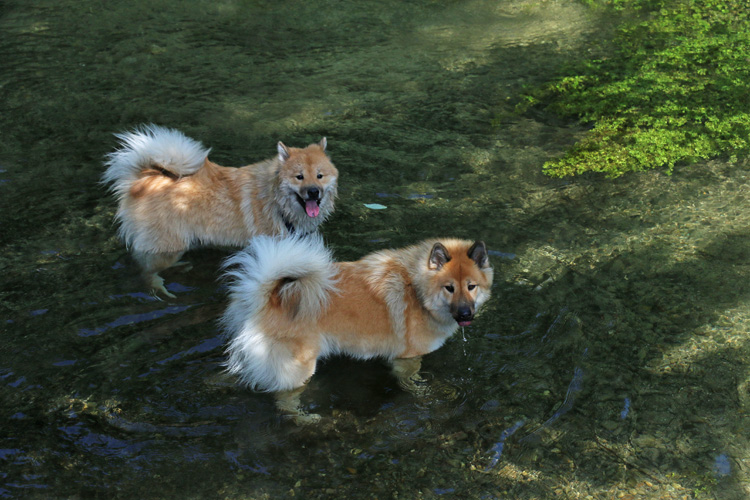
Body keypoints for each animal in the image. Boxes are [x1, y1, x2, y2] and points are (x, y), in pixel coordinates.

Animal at [102, 125, 338, 296]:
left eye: (319, 175)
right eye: (299, 177)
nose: (313, 192)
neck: (276, 200)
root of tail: (142, 178)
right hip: (167, 245)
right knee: (147, 272)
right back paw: (160, 289)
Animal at [223, 236, 494, 424]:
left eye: (471, 286)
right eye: (449, 288)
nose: (465, 314)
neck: (417, 291)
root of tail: (268, 297)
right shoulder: (407, 358)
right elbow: (413, 383)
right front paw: (425, 393)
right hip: (298, 367)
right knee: (284, 400)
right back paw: (306, 419)